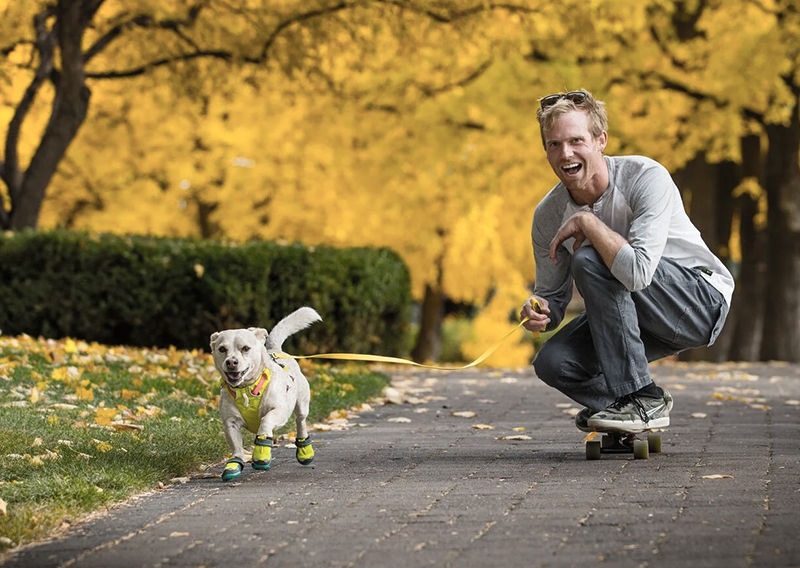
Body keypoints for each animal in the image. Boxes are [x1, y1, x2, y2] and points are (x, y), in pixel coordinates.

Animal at [209, 306, 322, 480]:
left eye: (245, 348)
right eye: (222, 349)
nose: (231, 362)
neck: (246, 389)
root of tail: (276, 350)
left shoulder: (279, 411)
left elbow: (265, 421)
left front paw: (261, 454)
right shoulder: (230, 422)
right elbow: (236, 446)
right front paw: (234, 464)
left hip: (302, 405)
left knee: (301, 422)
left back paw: (305, 451)